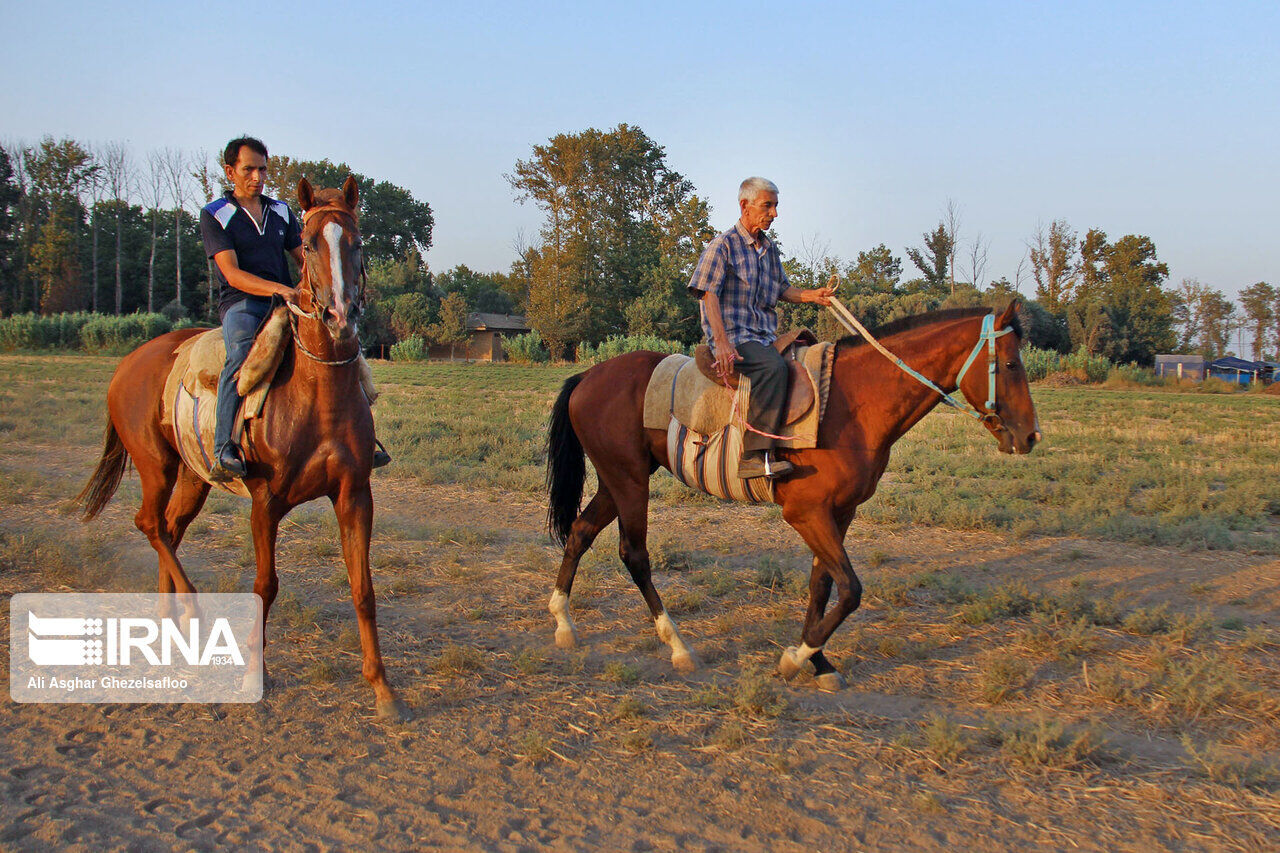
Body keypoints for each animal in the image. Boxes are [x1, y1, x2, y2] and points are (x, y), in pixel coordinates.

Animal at [77, 175, 407, 712]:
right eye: (309, 244)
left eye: (357, 243)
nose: (339, 315)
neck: (319, 396)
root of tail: (129, 362)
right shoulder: (265, 502)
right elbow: (264, 586)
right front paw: (256, 674)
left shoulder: (355, 494)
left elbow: (363, 588)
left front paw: (382, 687)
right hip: (155, 466)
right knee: (150, 523)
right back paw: (189, 608)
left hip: (193, 478)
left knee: (169, 528)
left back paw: (170, 621)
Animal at [547, 302, 1039, 686]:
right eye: (1011, 365)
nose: (1030, 437)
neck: (853, 403)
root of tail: (588, 375)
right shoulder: (806, 513)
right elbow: (851, 589)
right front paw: (794, 658)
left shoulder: (840, 513)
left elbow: (824, 584)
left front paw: (819, 662)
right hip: (629, 481)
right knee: (634, 554)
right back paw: (678, 646)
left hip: (617, 480)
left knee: (580, 531)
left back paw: (563, 623)